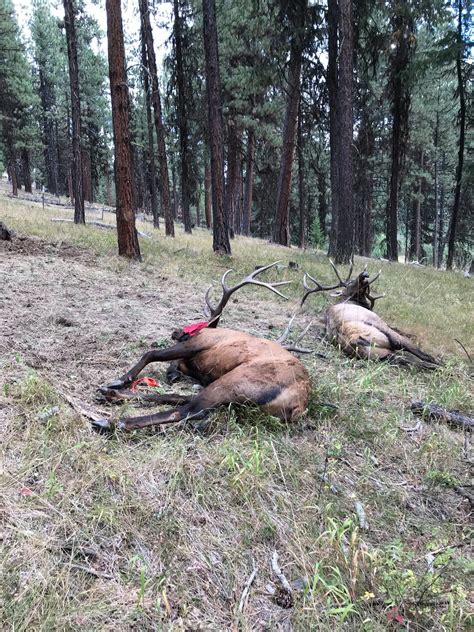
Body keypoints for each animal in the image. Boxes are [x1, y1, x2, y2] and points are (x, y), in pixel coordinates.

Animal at [95, 260, 312, 432]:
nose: (171, 375)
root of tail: (298, 407)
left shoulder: (196, 344)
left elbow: (151, 353)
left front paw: (119, 380)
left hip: (237, 381)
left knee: (188, 409)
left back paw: (114, 421)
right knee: (186, 400)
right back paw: (111, 396)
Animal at [302, 262, 442, 370]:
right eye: (350, 283)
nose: (363, 274)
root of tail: (352, 339)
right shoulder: (381, 321)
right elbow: (403, 331)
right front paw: (414, 336)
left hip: (381, 354)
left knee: (412, 361)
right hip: (385, 333)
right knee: (419, 353)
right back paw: (441, 364)